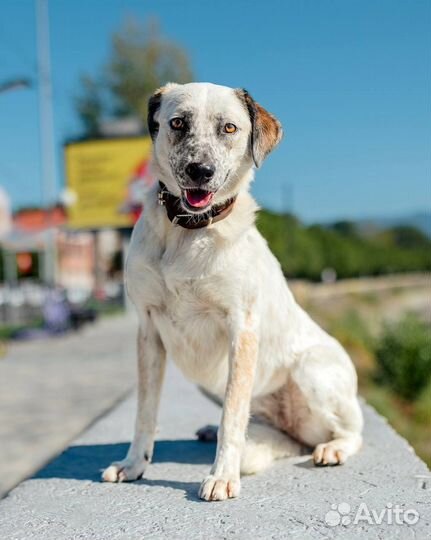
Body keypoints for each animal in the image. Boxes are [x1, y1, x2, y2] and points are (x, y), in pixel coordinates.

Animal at [103, 82, 362, 500]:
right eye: (178, 123)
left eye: (229, 128)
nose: (200, 170)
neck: (189, 232)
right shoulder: (148, 331)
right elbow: (145, 410)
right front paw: (133, 464)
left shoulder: (241, 330)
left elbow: (232, 416)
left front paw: (223, 475)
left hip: (312, 371)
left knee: (352, 431)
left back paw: (333, 448)